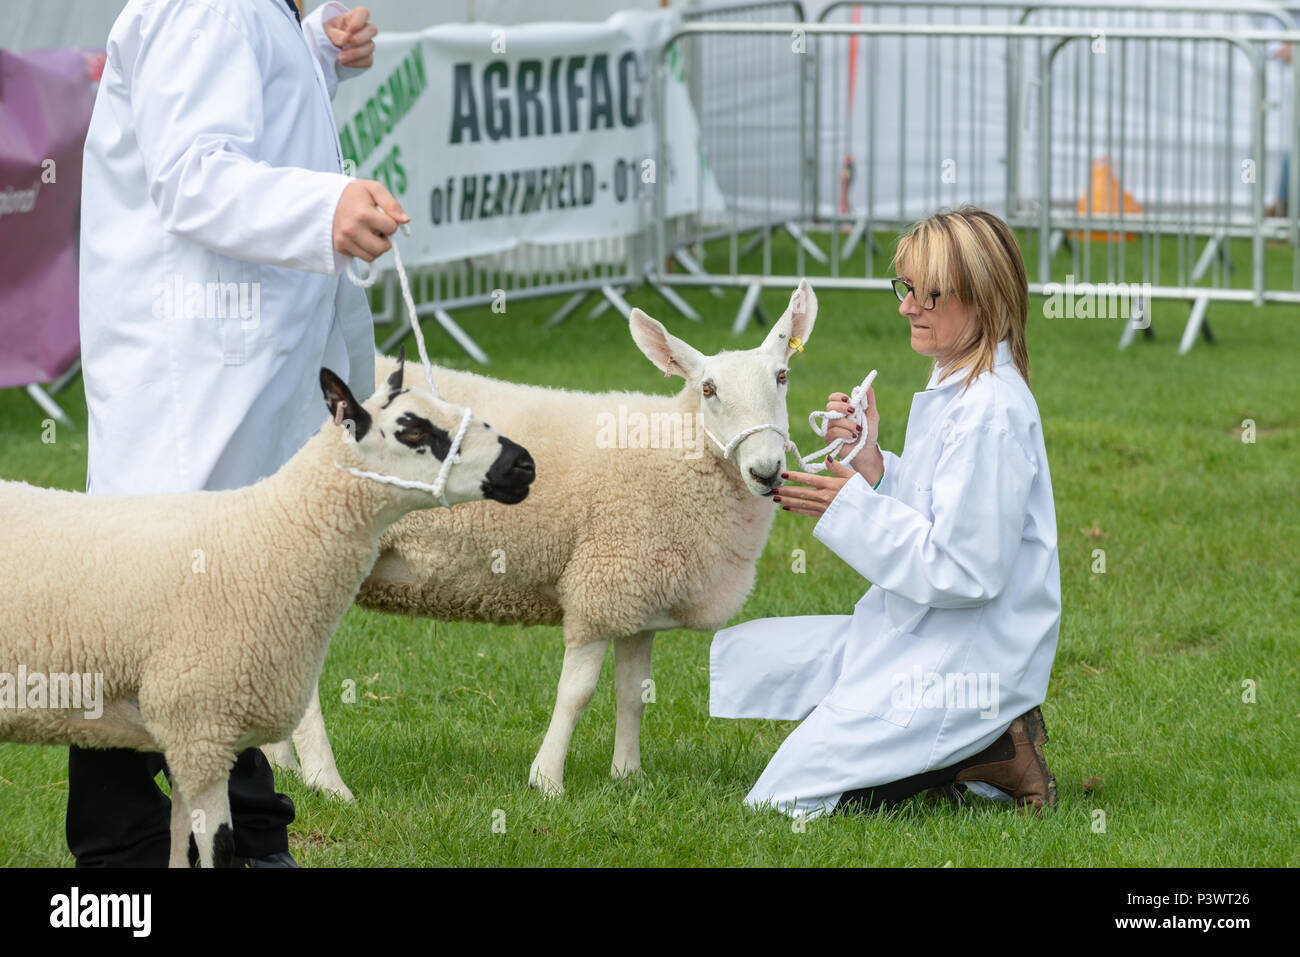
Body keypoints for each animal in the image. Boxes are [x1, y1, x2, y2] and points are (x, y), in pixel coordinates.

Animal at [0, 361, 533, 868]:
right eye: (413, 430)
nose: (524, 464)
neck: (270, 535)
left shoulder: (184, 736)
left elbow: (179, 846)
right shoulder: (201, 729)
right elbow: (219, 847)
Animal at [274, 280, 816, 795]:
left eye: (782, 377)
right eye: (707, 389)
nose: (766, 471)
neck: (672, 450)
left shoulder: (639, 597)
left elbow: (633, 694)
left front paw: (628, 777)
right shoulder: (602, 585)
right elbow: (576, 694)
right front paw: (547, 781)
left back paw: (284, 766)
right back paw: (326, 780)